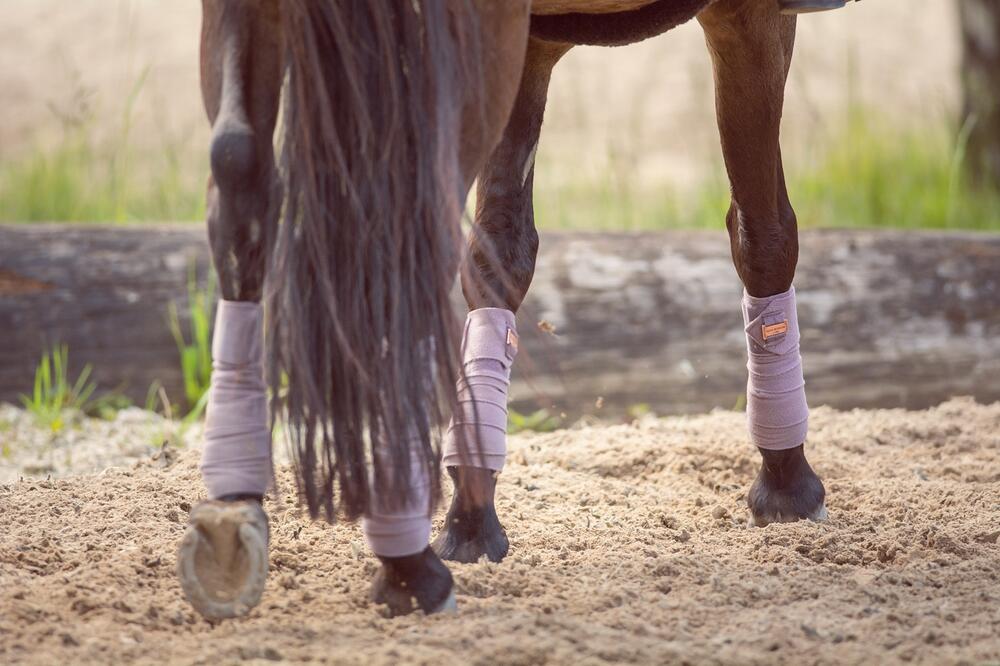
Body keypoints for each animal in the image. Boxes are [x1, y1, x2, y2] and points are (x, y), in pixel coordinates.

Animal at [176, 0, 824, 620]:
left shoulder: (532, 45)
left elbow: (500, 254)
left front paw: (471, 517)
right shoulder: (750, 17)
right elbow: (764, 234)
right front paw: (787, 483)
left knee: (240, 178)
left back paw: (232, 520)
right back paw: (408, 567)